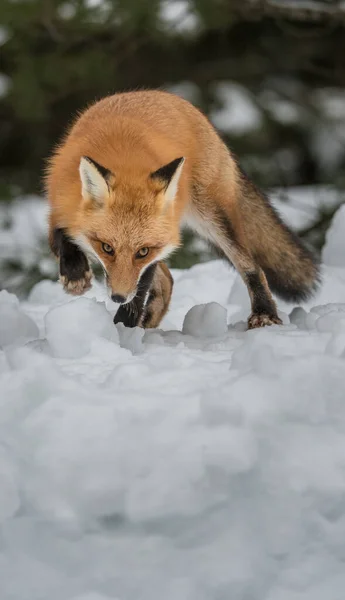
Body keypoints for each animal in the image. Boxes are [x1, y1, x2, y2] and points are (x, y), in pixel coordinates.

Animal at [45, 90, 320, 328]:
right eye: (106, 248)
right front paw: (75, 272)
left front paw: (124, 325)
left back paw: (264, 313)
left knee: (252, 266)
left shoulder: (154, 249)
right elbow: (60, 233)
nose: (118, 298)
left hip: (212, 217)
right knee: (167, 280)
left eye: (142, 251)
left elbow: (141, 286)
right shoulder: (59, 203)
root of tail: (166, 96)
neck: (123, 156)